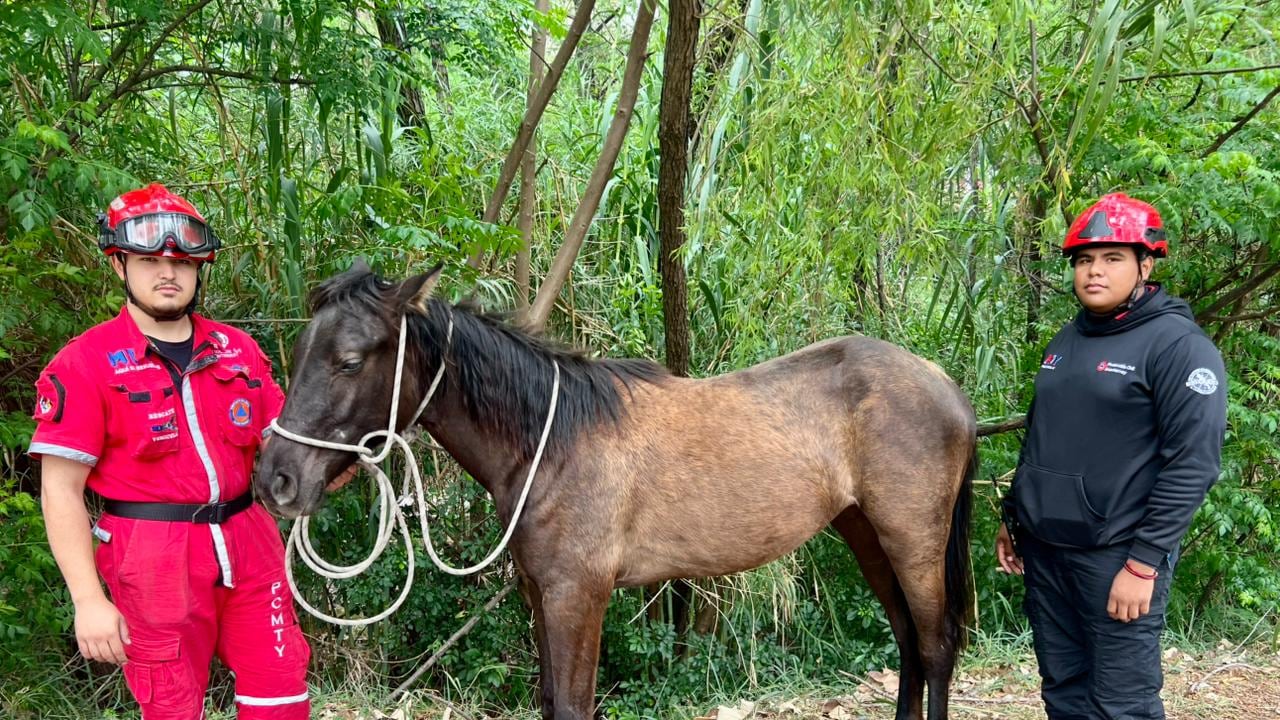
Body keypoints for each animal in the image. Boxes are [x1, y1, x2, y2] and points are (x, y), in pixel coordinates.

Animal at [255, 262, 977, 720]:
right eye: (303, 350)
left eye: (350, 361)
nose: (276, 478)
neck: (552, 442)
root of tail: (943, 384)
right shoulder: (541, 594)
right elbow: (553, 702)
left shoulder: (579, 596)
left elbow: (576, 706)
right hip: (866, 536)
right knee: (909, 646)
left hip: (913, 542)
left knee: (934, 648)